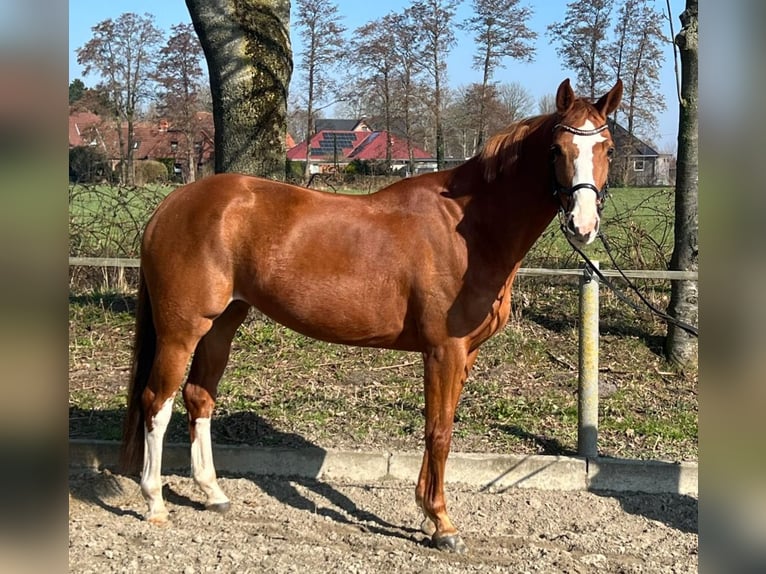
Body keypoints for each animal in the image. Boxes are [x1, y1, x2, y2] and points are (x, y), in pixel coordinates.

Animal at [121, 78, 622, 553]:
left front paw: (427, 513)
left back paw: (213, 493)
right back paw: (155, 502)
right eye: (557, 150)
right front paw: (442, 525)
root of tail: (172, 204)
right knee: (156, 402)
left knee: (198, 397)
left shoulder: (465, 355)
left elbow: (440, 426)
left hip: (221, 325)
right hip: (180, 331)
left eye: (608, 148)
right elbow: (439, 431)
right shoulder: (443, 351)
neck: (470, 229)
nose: (583, 224)